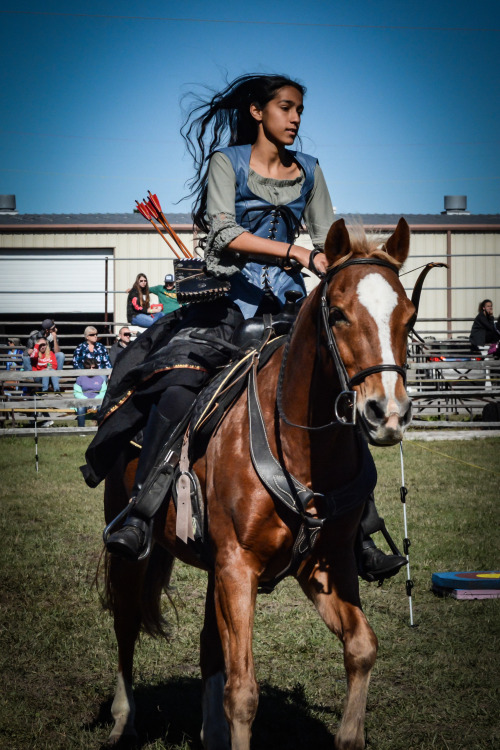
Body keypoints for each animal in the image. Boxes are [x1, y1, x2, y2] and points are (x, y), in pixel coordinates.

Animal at [102, 217, 414, 750]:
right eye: (338, 313)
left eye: (409, 317)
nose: (386, 413)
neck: (300, 449)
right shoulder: (237, 567)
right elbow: (243, 691)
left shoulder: (324, 565)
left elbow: (362, 647)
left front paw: (349, 733)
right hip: (132, 549)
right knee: (126, 624)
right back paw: (124, 720)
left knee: (208, 645)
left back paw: (209, 732)